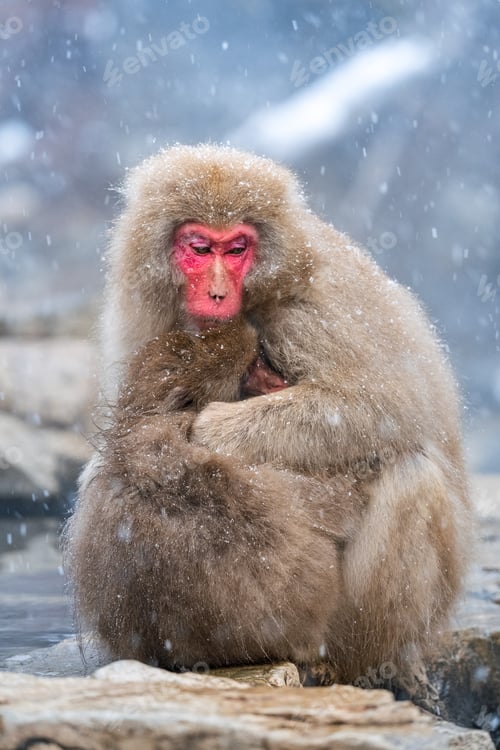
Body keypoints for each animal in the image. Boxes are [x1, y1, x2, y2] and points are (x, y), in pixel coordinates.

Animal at [64, 144, 472, 687]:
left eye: (237, 249)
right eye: (200, 248)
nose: (218, 293)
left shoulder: (310, 310)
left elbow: (382, 406)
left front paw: (210, 430)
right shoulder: (145, 307)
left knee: (411, 475)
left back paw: (359, 665)